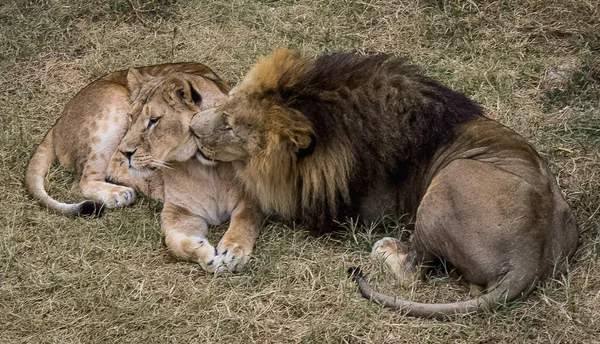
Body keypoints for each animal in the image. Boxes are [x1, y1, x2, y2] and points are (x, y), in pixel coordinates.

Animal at [191, 49, 576, 318]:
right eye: (227, 99)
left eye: (230, 125)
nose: (192, 128)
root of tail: (528, 259)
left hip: (450, 178)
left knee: (414, 272)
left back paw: (386, 248)